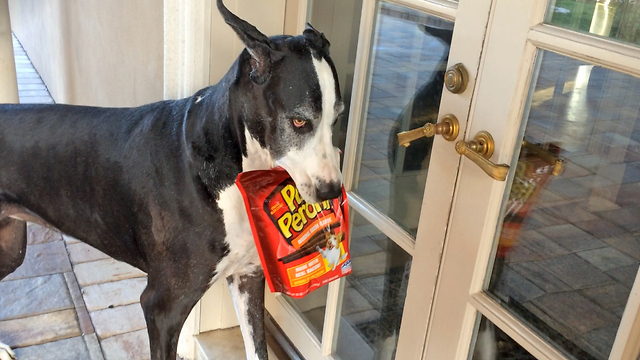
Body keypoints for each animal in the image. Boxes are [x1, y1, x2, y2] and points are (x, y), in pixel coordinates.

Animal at [0, 1, 344, 358]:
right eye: (299, 121)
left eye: (337, 118)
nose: (332, 191)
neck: (231, 162)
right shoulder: (163, 307)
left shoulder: (247, 276)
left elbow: (257, 348)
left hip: (10, 247)